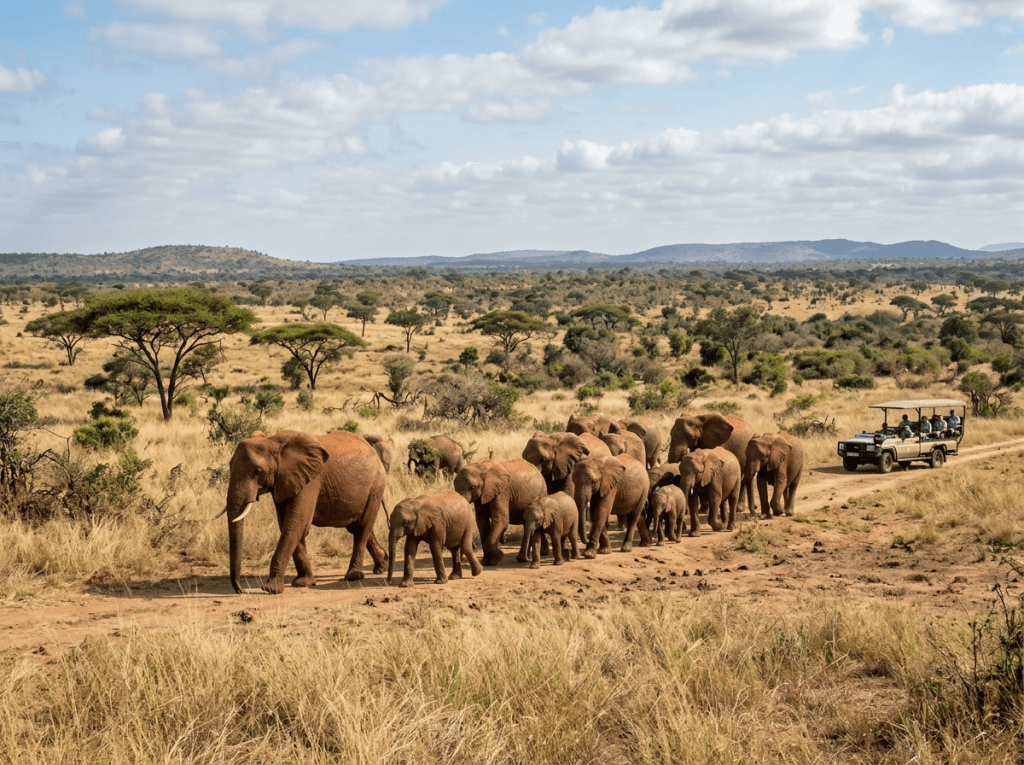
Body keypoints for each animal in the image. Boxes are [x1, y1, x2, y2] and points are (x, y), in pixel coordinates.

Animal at [216, 429, 387, 594]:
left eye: (258, 471)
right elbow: (289, 524)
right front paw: (304, 583)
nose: (240, 590)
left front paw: (271, 589)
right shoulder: (283, 481)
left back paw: (353, 576)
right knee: (358, 526)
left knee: (362, 528)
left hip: (376, 487)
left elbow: (295, 524)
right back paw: (382, 564)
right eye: (230, 465)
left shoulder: (311, 479)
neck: (273, 441)